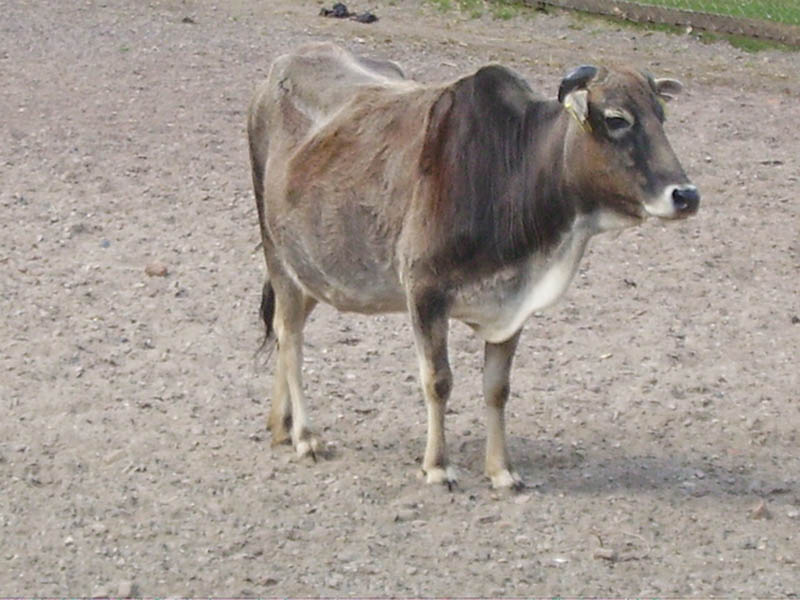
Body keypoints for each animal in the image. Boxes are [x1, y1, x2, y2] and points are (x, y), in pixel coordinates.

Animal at [247, 43, 696, 492]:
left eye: (661, 114)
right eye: (617, 119)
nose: (687, 195)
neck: (512, 172)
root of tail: (284, 66)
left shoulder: (512, 304)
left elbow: (497, 388)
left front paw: (501, 470)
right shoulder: (425, 293)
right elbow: (438, 381)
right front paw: (437, 465)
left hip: (310, 267)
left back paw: (281, 425)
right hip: (277, 252)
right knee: (290, 336)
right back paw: (305, 435)